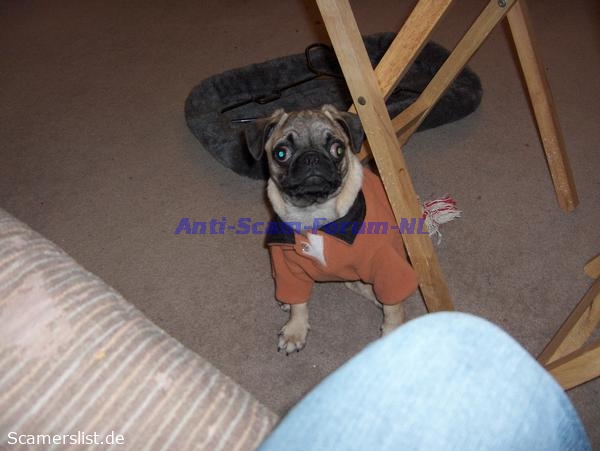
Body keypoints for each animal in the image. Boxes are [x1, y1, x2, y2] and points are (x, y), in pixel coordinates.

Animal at [245, 104, 418, 353]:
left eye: (338, 149)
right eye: (281, 153)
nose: (311, 158)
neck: (315, 214)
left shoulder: (387, 265)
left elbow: (393, 308)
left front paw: (393, 332)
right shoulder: (287, 266)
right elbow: (298, 302)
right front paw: (295, 329)